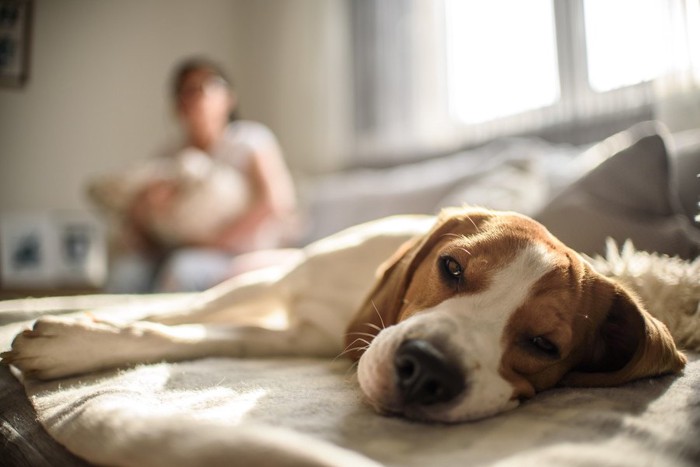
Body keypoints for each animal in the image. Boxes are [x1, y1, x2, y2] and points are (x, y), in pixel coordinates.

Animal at [0, 208, 688, 424]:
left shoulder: (293, 338)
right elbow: (176, 310)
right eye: (452, 268)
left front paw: (74, 341)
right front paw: (73, 330)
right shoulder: (275, 278)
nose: (426, 371)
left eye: (545, 345)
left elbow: (192, 333)